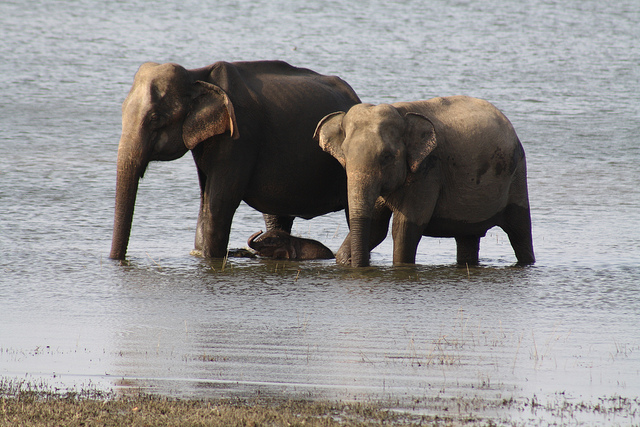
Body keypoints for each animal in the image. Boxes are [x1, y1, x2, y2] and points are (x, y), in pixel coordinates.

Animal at [110, 60, 360, 260]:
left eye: (155, 118)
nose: (117, 260)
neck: (196, 76)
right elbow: (205, 199)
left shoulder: (240, 136)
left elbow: (220, 201)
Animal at [316, 96, 536, 268]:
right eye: (344, 155)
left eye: (387, 157)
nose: (357, 265)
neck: (401, 113)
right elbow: (377, 227)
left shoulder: (427, 171)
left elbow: (405, 228)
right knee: (468, 237)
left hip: (517, 175)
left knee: (520, 231)